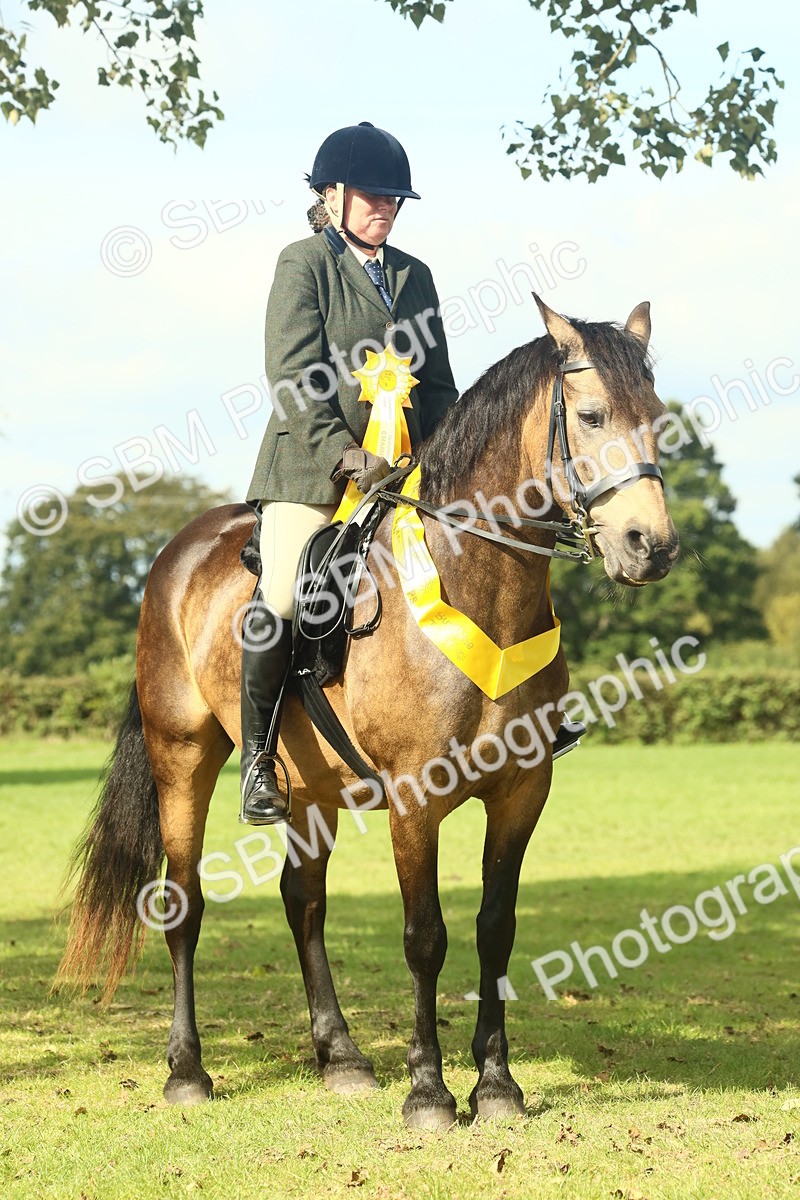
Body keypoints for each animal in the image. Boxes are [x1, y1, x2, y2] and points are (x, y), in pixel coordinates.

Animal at [56, 297, 679, 1131]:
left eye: (658, 418)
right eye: (591, 414)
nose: (652, 546)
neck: (480, 583)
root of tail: (175, 556)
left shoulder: (522, 793)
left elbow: (495, 929)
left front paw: (497, 1085)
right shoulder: (415, 798)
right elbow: (425, 936)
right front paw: (430, 1091)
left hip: (310, 787)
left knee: (304, 902)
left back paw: (342, 1057)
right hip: (181, 757)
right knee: (182, 905)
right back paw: (187, 1071)